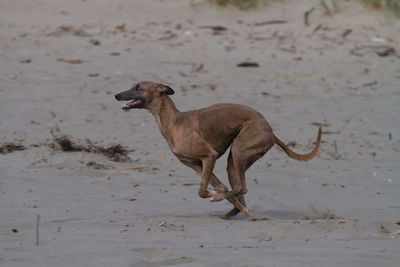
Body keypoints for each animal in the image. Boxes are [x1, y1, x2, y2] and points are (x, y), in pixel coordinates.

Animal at [114, 81, 320, 220]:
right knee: (238, 191)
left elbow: (203, 191)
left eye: (138, 87)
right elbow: (218, 187)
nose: (116, 95)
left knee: (242, 188)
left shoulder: (209, 156)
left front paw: (215, 196)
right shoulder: (195, 164)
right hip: (233, 163)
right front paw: (223, 197)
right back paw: (236, 212)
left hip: (238, 151)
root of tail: (271, 131)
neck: (174, 122)